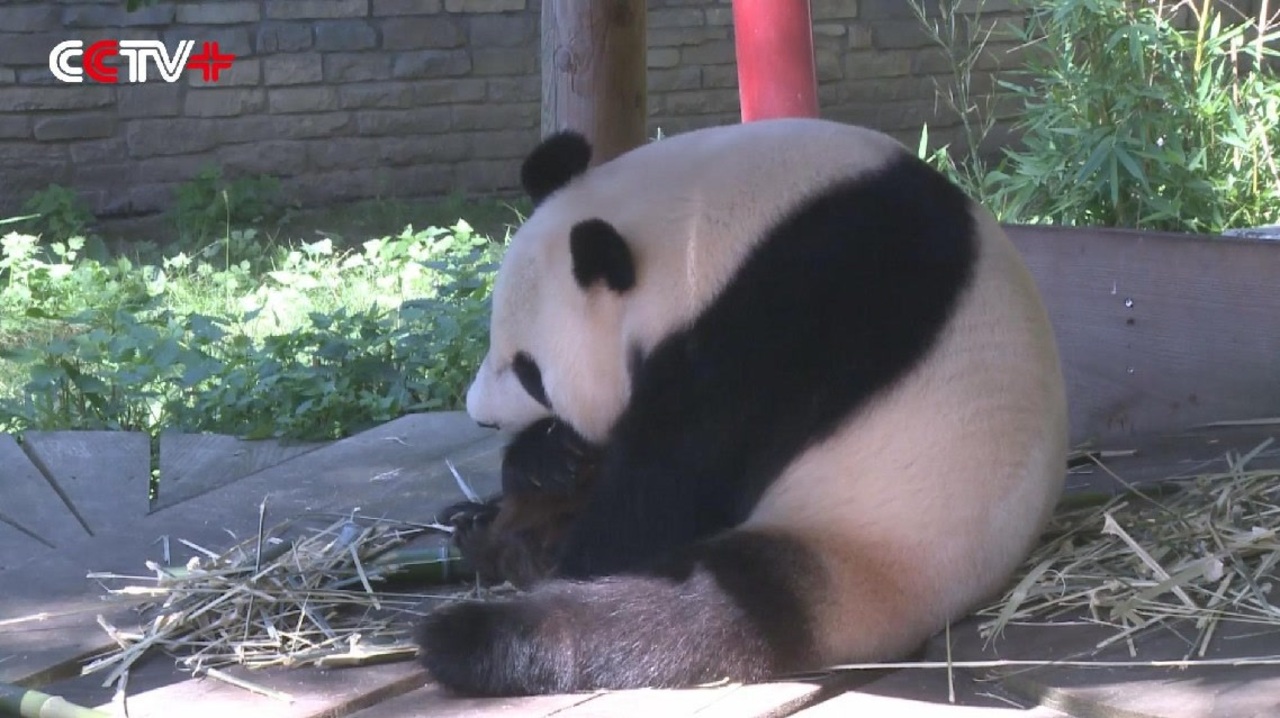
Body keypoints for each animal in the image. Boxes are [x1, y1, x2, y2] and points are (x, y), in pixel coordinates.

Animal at [414, 117, 1064, 696]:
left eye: (530, 371)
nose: (480, 414)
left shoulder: (789, 317)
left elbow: (673, 480)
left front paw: (569, 542)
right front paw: (540, 462)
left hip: (885, 527)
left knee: (685, 614)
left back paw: (480, 620)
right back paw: (478, 526)